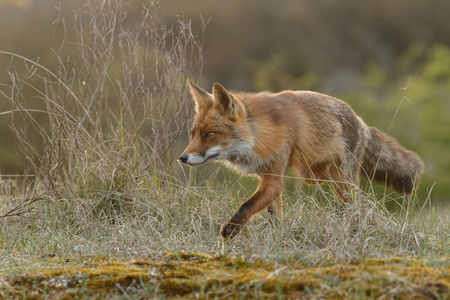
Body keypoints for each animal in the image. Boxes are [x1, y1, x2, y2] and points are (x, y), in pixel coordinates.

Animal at [178, 81, 422, 239]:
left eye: (210, 134)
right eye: (193, 134)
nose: (183, 157)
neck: (260, 135)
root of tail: (361, 121)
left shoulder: (274, 173)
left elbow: (247, 206)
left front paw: (230, 230)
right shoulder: (268, 176)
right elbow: (273, 213)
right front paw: (277, 235)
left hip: (342, 182)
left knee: (356, 207)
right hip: (315, 176)